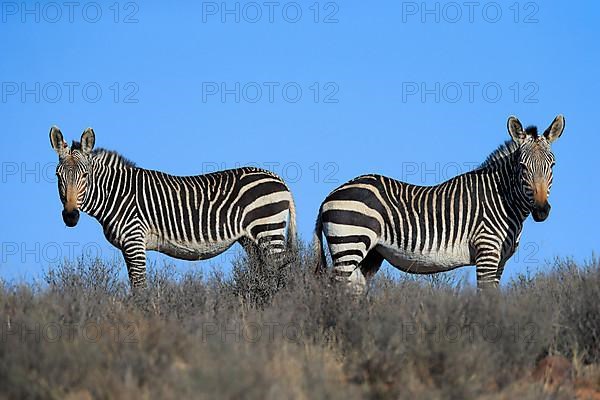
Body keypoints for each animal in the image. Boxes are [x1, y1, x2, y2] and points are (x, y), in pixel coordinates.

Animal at [49, 127, 298, 288]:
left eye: (85, 176)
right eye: (58, 175)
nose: (70, 216)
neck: (116, 194)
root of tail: (278, 178)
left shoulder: (134, 240)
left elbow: (140, 288)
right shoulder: (127, 247)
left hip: (268, 230)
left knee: (282, 273)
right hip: (251, 240)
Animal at [314, 115, 568, 294]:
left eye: (552, 165)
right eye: (523, 167)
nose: (541, 210)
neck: (503, 199)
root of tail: (329, 196)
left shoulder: (501, 261)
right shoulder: (487, 252)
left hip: (371, 254)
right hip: (350, 243)